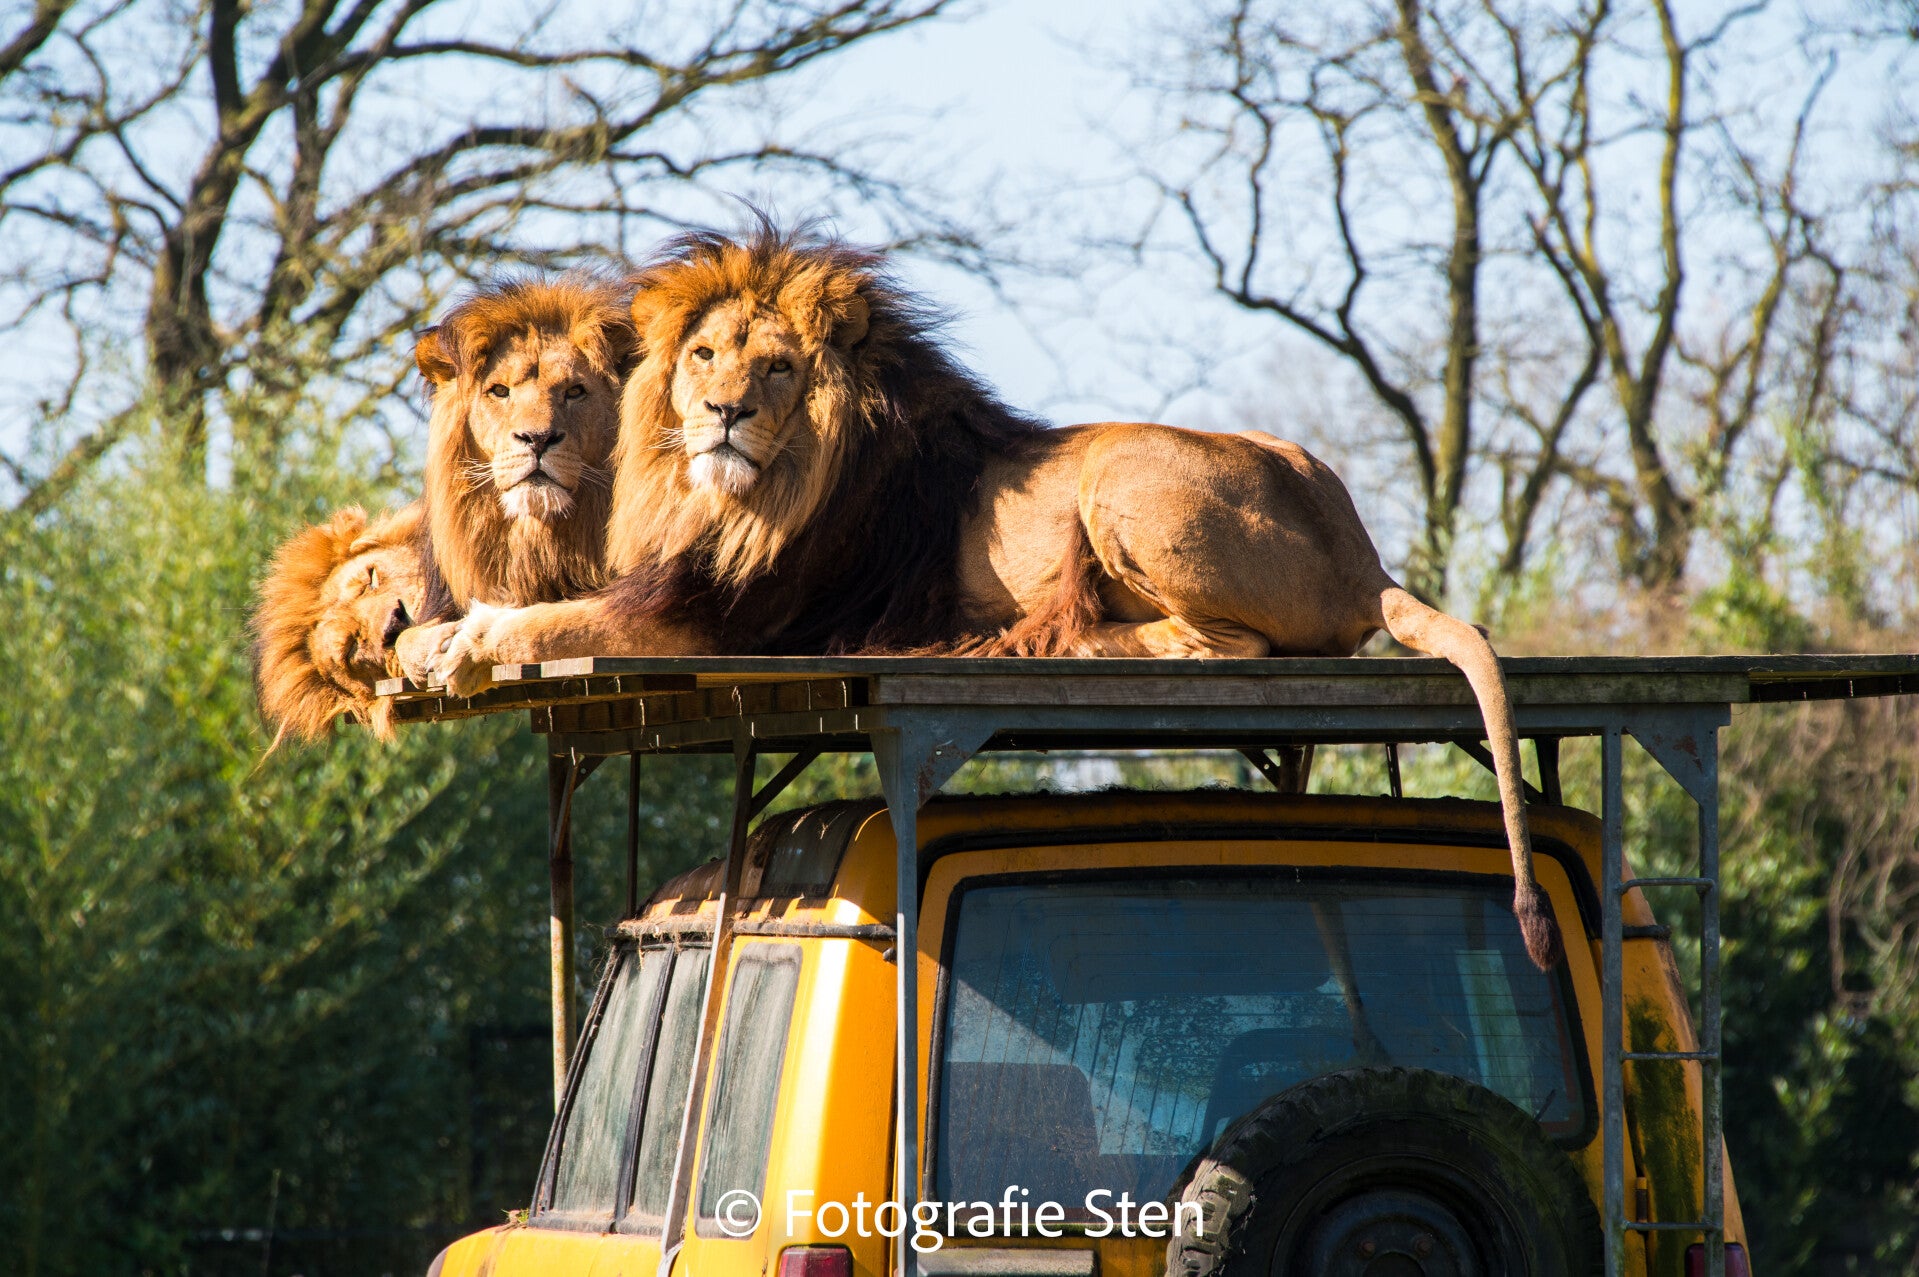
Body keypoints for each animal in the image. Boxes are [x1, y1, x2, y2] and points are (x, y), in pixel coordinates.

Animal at [391, 274, 636, 680]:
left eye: (574, 391)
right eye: (500, 391)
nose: (538, 439)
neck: (536, 539)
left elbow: (554, 628)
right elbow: (404, 639)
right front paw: (441, 636)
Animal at [421, 225, 1561, 969]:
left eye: (777, 367)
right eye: (703, 354)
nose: (721, 414)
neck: (743, 494)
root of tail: (1362, 545)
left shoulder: (724, 620)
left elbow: (558, 615)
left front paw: (461, 641)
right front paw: (436, 636)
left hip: (1116, 468)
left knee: (1218, 646)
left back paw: (1039, 641)